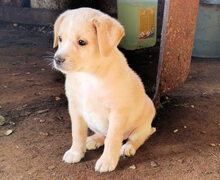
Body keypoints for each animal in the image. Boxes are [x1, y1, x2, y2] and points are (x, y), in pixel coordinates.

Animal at [52, 7, 156, 173]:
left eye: (82, 42)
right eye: (60, 38)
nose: (57, 60)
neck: (88, 76)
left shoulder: (117, 113)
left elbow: (112, 139)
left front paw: (107, 161)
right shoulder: (75, 109)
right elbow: (77, 133)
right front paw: (75, 152)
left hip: (142, 126)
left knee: (135, 139)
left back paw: (127, 148)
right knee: (103, 135)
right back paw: (93, 140)